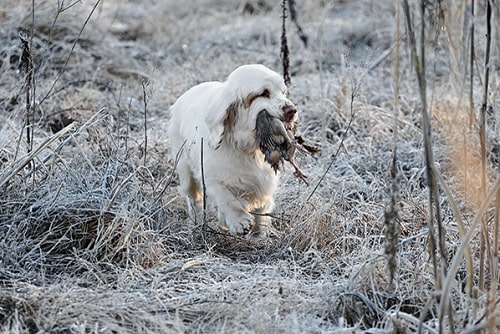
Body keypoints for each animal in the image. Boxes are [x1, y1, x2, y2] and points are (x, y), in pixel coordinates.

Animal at [170, 64, 298, 236]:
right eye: (264, 93)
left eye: (283, 92)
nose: (292, 110)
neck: (246, 148)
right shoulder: (211, 178)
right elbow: (226, 198)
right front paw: (240, 222)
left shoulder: (264, 181)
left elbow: (262, 211)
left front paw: (259, 234)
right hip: (186, 172)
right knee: (194, 200)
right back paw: (196, 223)